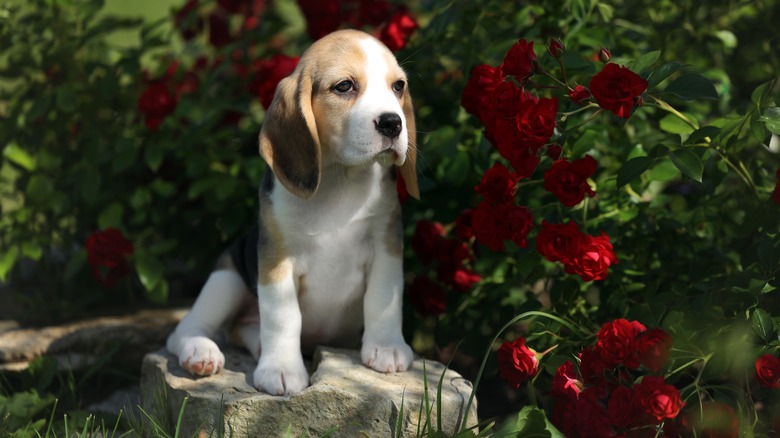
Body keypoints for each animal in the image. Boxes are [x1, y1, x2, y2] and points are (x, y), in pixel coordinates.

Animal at [166, 29, 420, 396]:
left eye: (398, 86)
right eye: (344, 86)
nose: (392, 124)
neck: (339, 181)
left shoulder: (386, 245)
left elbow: (384, 297)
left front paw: (386, 348)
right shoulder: (276, 260)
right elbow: (283, 317)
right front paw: (281, 370)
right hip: (227, 277)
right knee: (187, 329)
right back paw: (201, 352)